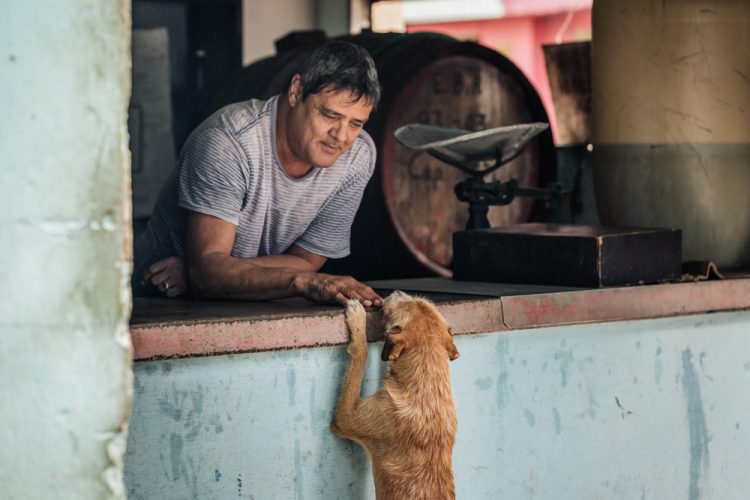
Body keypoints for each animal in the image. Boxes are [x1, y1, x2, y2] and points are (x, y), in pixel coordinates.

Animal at [334, 292, 462, 498]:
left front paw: (358, 320)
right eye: (418, 300)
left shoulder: (344, 418)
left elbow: (362, 352)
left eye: (404, 304)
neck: (428, 379)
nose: (396, 291)